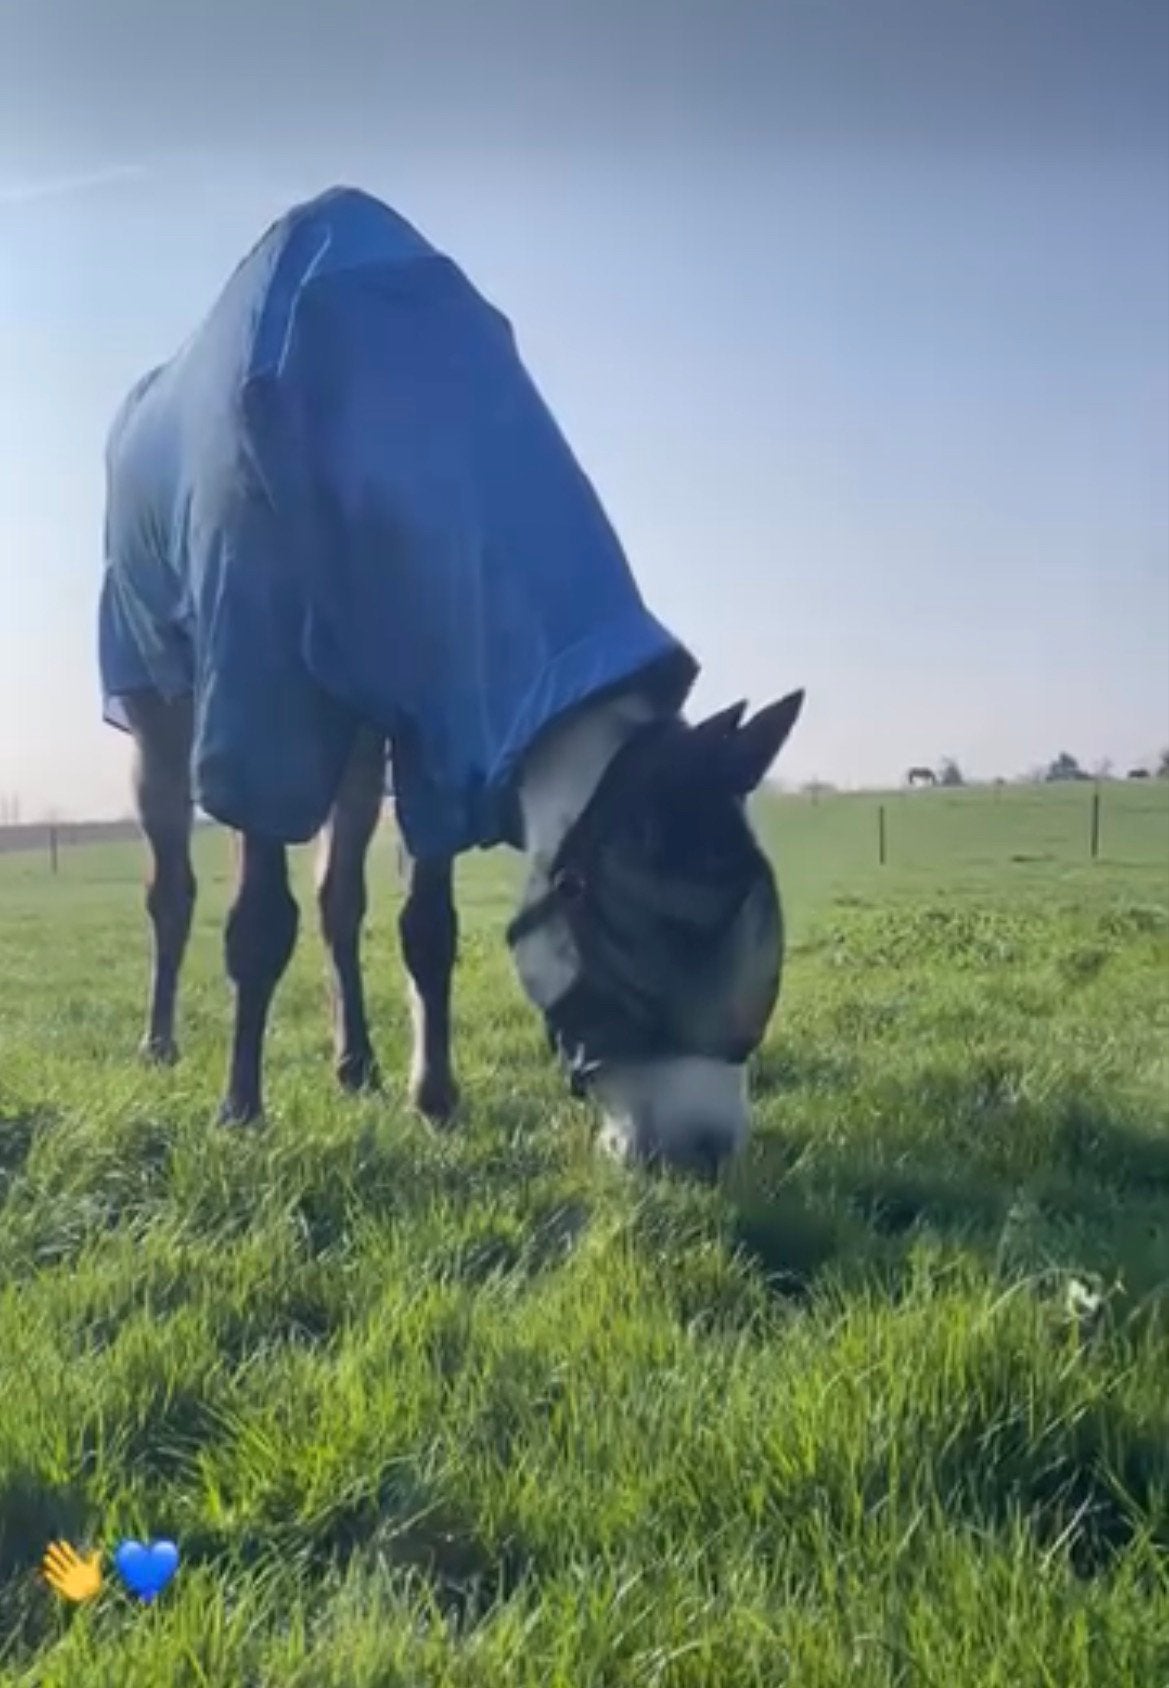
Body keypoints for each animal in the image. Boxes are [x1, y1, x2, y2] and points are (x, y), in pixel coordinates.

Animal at [99, 187, 804, 1176]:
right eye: (633, 927)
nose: (697, 1151)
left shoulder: (442, 724)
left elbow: (426, 929)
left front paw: (431, 1097)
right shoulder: (258, 695)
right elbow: (257, 922)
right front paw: (240, 1110)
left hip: (359, 739)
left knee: (339, 899)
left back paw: (354, 1062)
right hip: (154, 700)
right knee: (173, 886)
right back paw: (161, 1043)